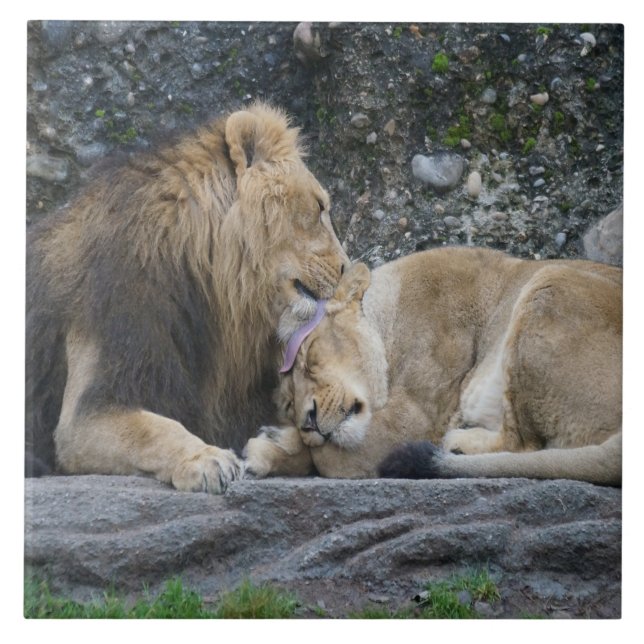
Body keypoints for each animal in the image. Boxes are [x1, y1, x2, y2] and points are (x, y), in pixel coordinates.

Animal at [26, 103, 349, 493]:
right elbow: (153, 429)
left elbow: (310, 444)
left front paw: (271, 445)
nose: (346, 268)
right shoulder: (91, 405)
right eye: (318, 207)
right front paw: (206, 460)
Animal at [243, 246, 622, 486]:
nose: (307, 421)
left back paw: (457, 444)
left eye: (309, 359)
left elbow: (326, 457)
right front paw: (271, 448)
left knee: (525, 445)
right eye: (289, 403)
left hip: (550, 282)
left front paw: (275, 444)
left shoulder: (416, 419)